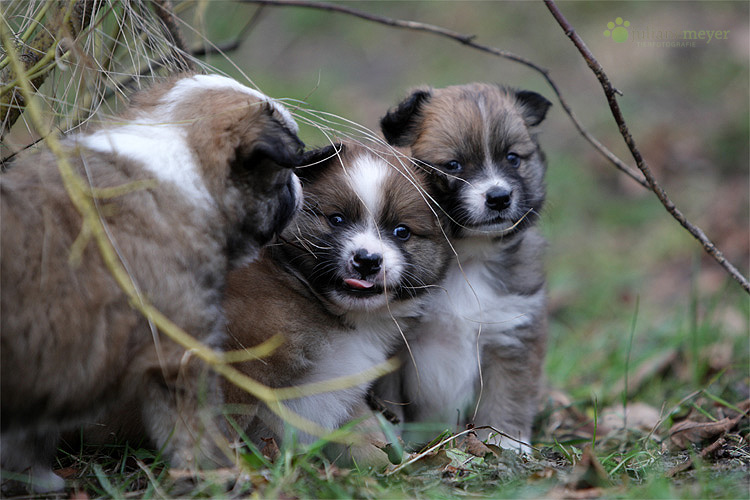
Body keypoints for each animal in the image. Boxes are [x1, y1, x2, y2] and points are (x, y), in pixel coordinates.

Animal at [382, 84, 552, 452]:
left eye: (512, 158)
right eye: (454, 165)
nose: (499, 197)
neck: (467, 258)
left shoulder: (511, 335)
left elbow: (508, 396)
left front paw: (507, 443)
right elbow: (387, 402)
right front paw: (393, 443)